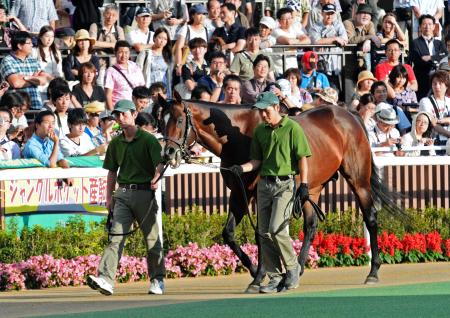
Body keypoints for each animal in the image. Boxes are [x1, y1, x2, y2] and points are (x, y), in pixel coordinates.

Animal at [162, 97, 404, 290]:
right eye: (161, 121)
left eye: (179, 121)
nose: (168, 153)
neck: (238, 133)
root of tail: (349, 114)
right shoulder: (238, 193)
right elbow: (229, 233)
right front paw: (255, 271)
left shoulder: (256, 194)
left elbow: (261, 233)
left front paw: (259, 276)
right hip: (310, 189)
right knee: (311, 225)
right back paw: (297, 269)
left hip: (358, 179)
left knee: (370, 218)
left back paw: (373, 272)